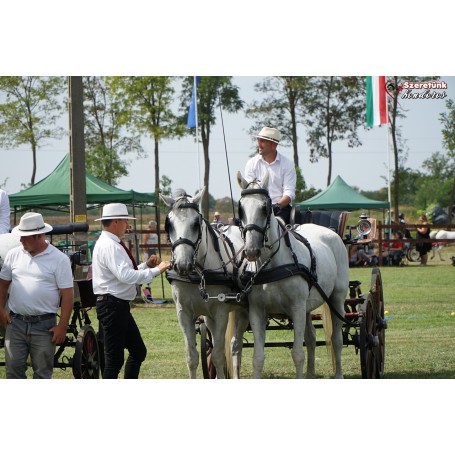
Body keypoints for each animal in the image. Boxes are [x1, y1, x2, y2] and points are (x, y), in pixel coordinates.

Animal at [161, 187, 249, 380]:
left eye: (196, 223)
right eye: (168, 224)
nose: (182, 264)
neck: (198, 274)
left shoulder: (221, 311)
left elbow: (217, 356)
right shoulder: (183, 313)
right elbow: (192, 357)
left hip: (242, 311)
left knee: (234, 345)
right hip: (209, 317)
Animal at [237, 173, 350, 380]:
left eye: (264, 208)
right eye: (240, 209)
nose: (251, 250)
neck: (273, 264)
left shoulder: (296, 308)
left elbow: (298, 353)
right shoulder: (257, 311)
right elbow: (258, 357)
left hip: (336, 298)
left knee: (336, 339)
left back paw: (338, 374)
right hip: (307, 307)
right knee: (311, 338)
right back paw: (310, 374)